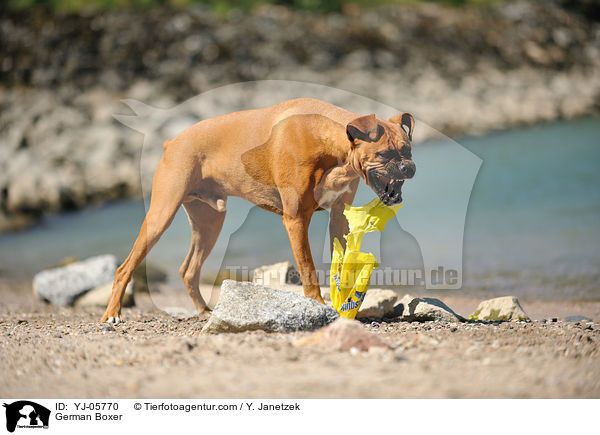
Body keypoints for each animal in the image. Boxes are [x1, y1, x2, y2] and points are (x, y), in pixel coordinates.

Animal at [101, 99, 414, 324]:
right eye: (385, 154)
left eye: (408, 149)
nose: (408, 167)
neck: (328, 140)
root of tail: (170, 143)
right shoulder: (296, 220)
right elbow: (308, 269)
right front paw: (318, 305)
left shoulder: (339, 218)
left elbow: (340, 264)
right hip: (161, 217)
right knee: (125, 268)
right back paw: (113, 314)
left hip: (209, 223)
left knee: (188, 270)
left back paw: (204, 311)